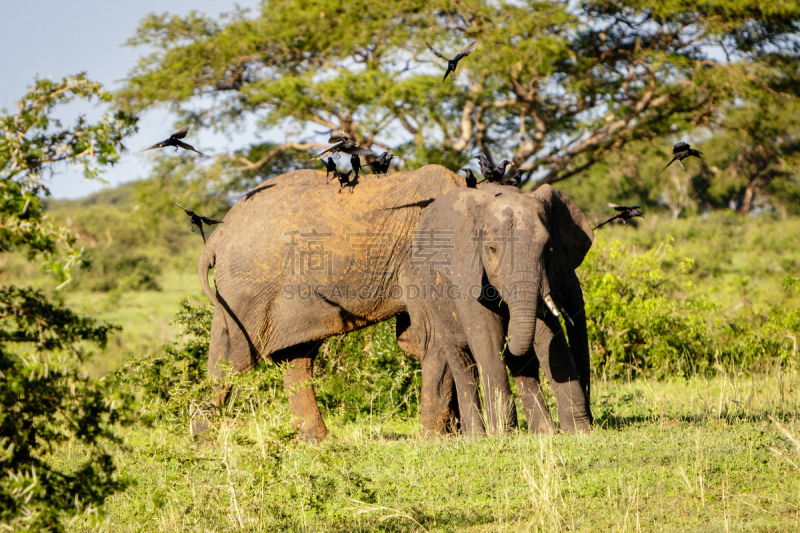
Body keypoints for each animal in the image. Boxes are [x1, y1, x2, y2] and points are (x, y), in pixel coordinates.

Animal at [196, 164, 466, 438]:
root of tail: (218, 234)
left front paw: (454, 434)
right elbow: (435, 337)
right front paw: (441, 439)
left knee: (293, 358)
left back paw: (318, 440)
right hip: (248, 288)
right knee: (234, 359)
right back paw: (204, 440)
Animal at [406, 182, 592, 432]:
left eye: (548, 250)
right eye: (492, 249)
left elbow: (549, 340)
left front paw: (579, 431)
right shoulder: (465, 274)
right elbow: (488, 341)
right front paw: (504, 433)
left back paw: (543, 432)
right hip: (432, 299)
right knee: (463, 365)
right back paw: (477, 436)